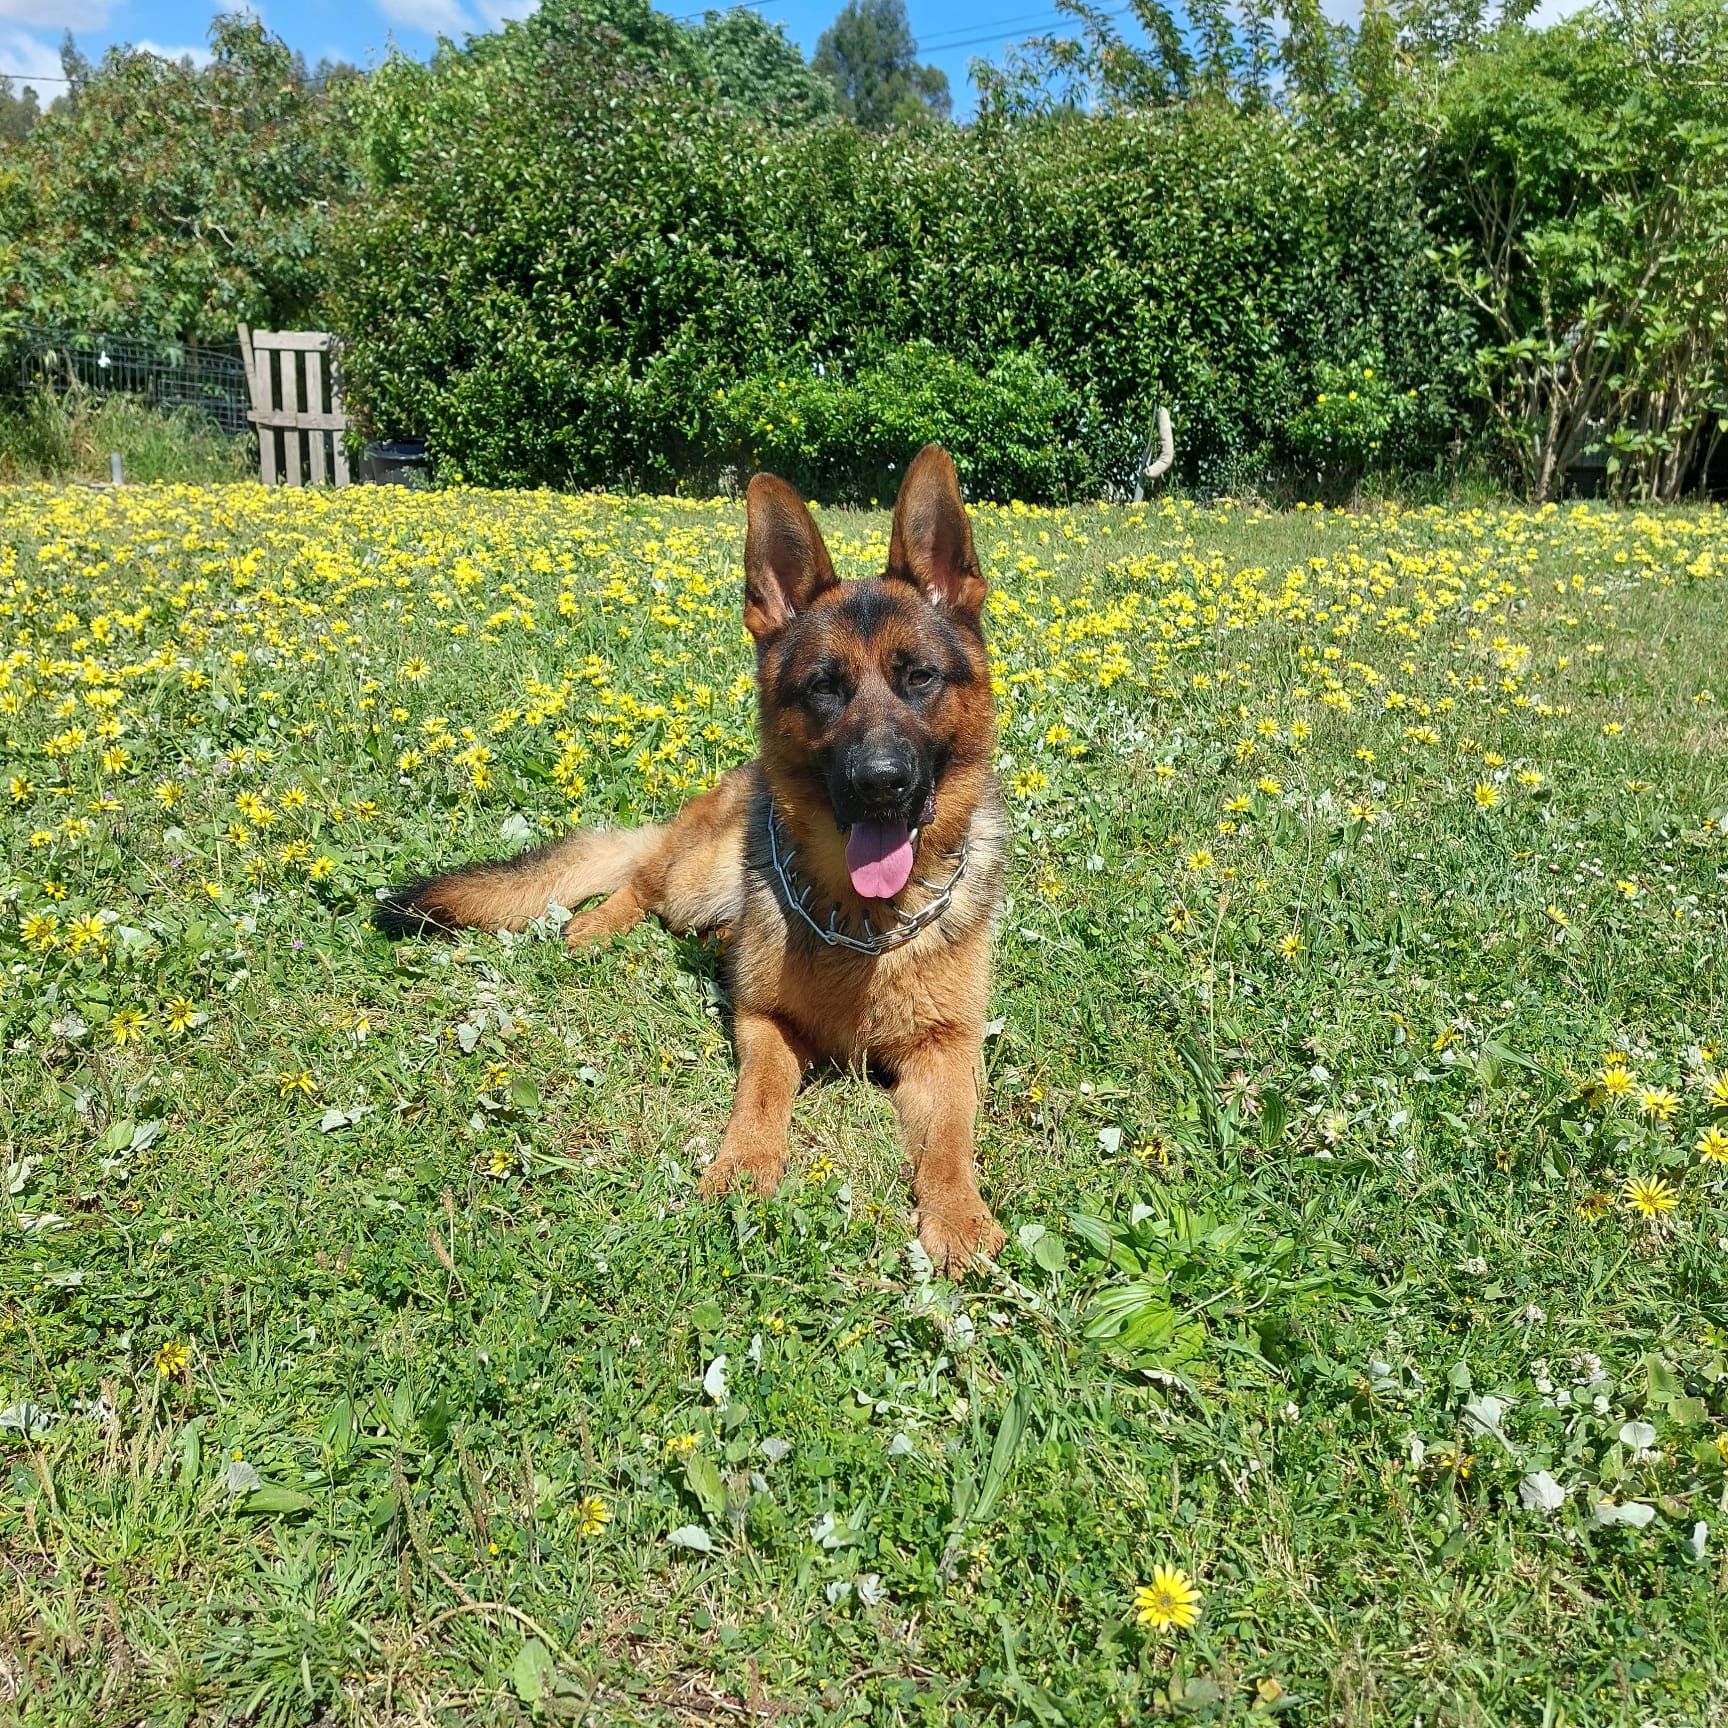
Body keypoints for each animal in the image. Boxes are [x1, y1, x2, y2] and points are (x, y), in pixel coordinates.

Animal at [374, 449, 1002, 1271]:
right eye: (825, 688)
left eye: (919, 678)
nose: (879, 782)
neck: (865, 924)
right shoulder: (764, 1021)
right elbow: (761, 1095)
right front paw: (745, 1164)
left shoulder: (948, 1049)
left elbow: (953, 1136)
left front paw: (957, 1214)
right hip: (697, 876)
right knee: (644, 883)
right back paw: (596, 926)